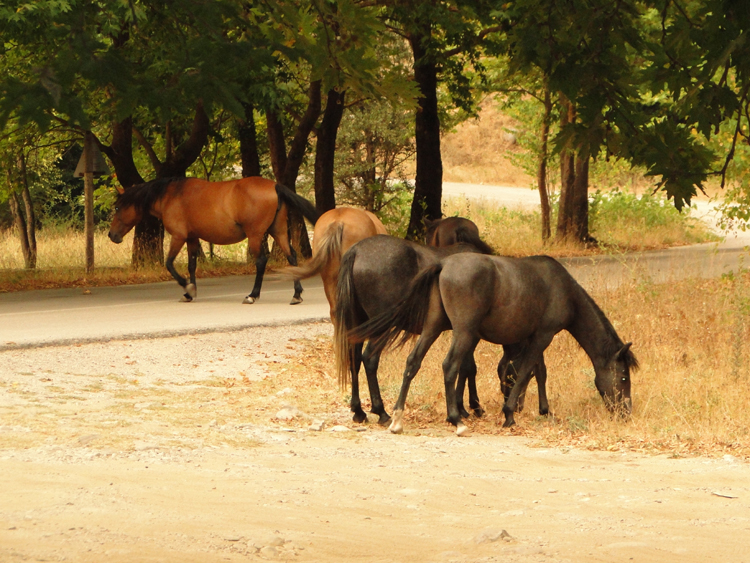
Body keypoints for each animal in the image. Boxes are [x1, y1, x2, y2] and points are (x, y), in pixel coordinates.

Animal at [107, 178, 318, 306]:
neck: (171, 195)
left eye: (117, 207)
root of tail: (274, 185)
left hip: (256, 235)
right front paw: (189, 293)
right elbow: (192, 265)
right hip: (278, 231)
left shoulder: (178, 236)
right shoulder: (192, 237)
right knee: (292, 256)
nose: (111, 235)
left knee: (261, 261)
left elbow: (169, 264)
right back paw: (296, 294)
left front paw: (188, 287)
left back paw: (252, 295)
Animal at [350, 252, 636, 436]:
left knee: (413, 362)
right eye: (624, 378)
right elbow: (525, 372)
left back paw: (396, 417)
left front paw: (542, 410)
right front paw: (510, 413)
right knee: (449, 366)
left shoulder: (532, 337)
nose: (626, 413)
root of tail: (443, 265)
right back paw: (455, 420)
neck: (563, 289)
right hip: (463, 332)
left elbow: (536, 372)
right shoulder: (543, 336)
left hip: (433, 327)